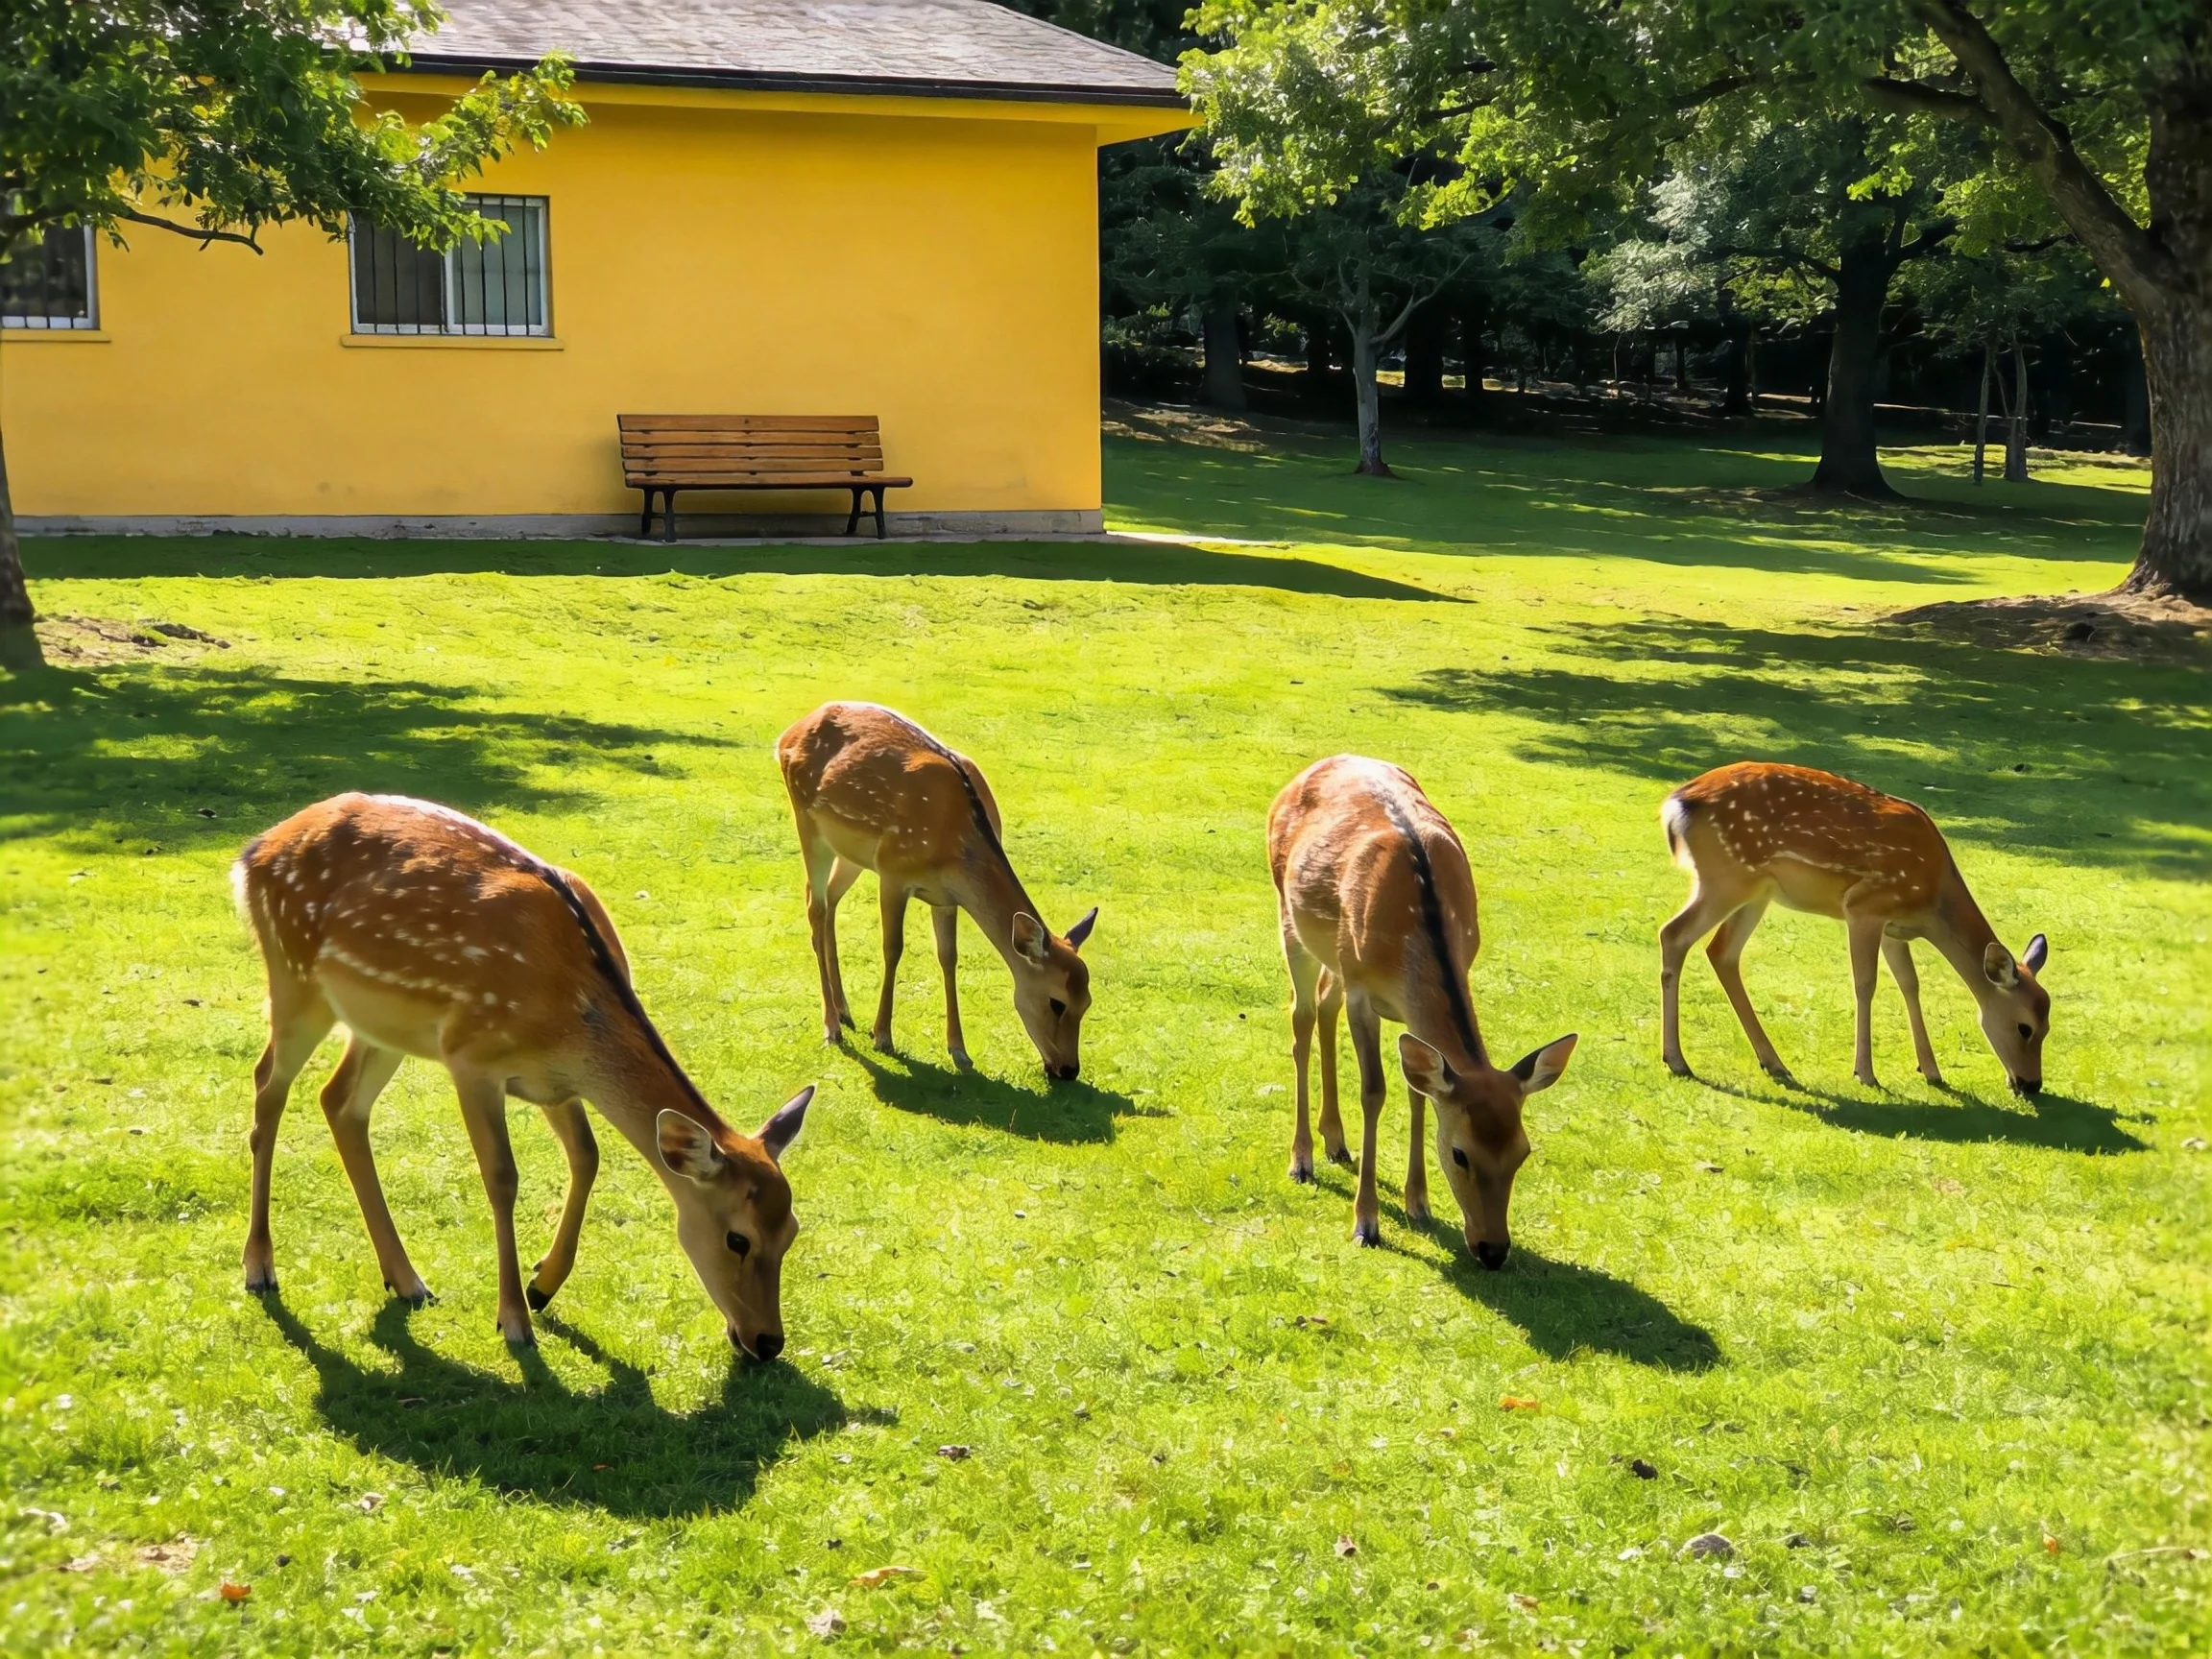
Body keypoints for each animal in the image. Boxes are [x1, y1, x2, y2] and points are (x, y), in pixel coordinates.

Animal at [233, 792, 814, 1357]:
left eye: (791, 1231)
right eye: (738, 1239)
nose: (767, 1341)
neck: (572, 1015)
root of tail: (251, 853)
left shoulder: (555, 1084)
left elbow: (587, 1155)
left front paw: (543, 1285)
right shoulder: (470, 1057)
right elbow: (503, 1177)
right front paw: (514, 1319)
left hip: (379, 1024)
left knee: (339, 1101)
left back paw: (407, 1280)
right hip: (295, 979)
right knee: (268, 1084)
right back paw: (260, 1266)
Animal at [776, 702, 1097, 1080]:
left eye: (1087, 1001)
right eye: (1056, 1002)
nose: (1068, 1069)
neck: (953, 840)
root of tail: (788, 734)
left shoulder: (946, 898)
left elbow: (948, 957)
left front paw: (959, 1050)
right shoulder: (893, 872)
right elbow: (893, 949)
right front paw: (882, 1036)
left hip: (850, 852)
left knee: (829, 902)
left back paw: (844, 1010)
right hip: (807, 821)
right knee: (816, 905)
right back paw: (832, 1027)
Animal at [1268, 756, 1578, 1263]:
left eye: (1523, 1152)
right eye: (1460, 1153)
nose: (1493, 1250)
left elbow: (1419, 1092)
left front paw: (1419, 1204)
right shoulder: (1363, 991)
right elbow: (1374, 1091)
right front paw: (1366, 1223)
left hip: (1336, 954)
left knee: (1325, 1003)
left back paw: (1336, 1142)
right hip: (1290, 919)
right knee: (1302, 1014)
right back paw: (1303, 1159)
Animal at [1658, 762, 2050, 1096]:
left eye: (2048, 1026)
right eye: (2024, 1027)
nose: (2031, 1084)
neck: (1932, 902)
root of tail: (1676, 804)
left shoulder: (1894, 929)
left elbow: (1910, 984)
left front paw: (1931, 1070)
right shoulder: (1865, 906)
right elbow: (1866, 983)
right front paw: (1866, 1072)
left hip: (1756, 890)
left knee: (1721, 952)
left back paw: (1773, 1062)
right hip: (1727, 877)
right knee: (1673, 934)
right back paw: (1677, 1061)